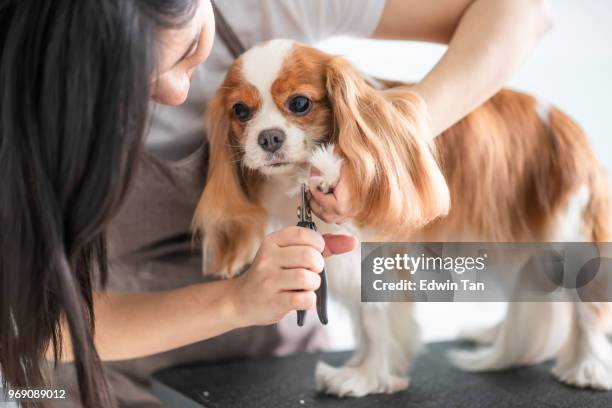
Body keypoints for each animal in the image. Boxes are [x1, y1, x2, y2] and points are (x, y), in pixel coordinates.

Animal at [194, 39, 612, 396]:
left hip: (571, 235)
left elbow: (376, 322)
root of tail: (565, 124)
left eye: (299, 103)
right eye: (240, 112)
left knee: (587, 308)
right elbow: (367, 325)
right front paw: (365, 367)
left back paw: (588, 368)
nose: (268, 138)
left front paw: (365, 378)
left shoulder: (376, 256)